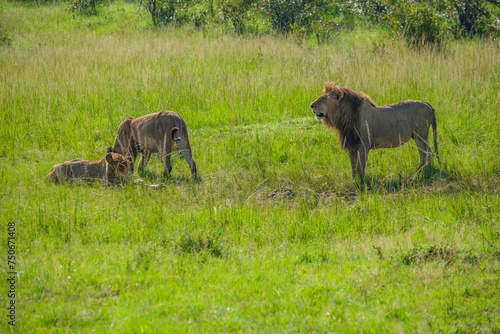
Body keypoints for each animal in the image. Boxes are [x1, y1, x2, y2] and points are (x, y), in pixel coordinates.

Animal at [310, 82, 440, 179]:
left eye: (322, 99)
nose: (311, 105)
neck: (344, 117)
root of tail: (429, 105)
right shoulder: (352, 145)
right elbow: (353, 166)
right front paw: (354, 180)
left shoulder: (364, 144)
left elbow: (360, 166)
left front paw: (361, 182)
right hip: (423, 136)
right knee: (430, 152)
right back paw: (429, 169)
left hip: (420, 135)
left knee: (424, 153)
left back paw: (419, 172)